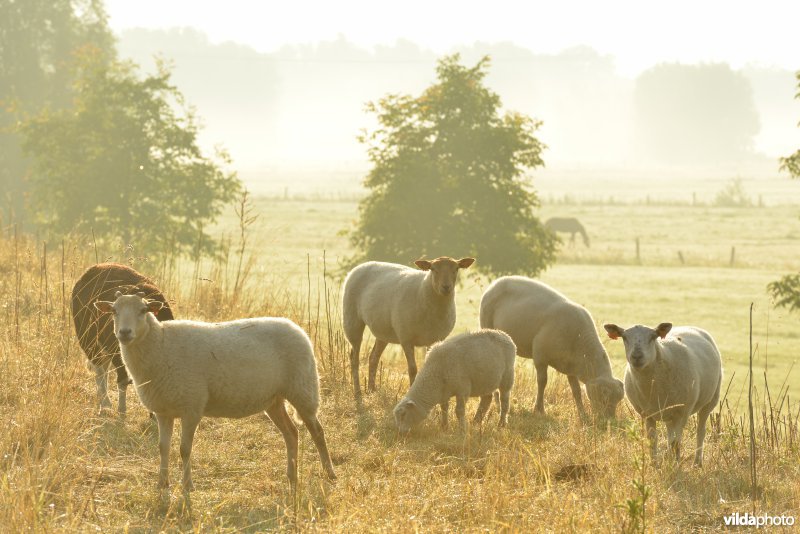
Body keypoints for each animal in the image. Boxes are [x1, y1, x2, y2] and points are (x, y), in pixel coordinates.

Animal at [70, 264, 175, 418]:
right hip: (88, 339)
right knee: (99, 370)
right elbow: (123, 380)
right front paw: (122, 411)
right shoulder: (118, 353)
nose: (125, 332)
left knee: (104, 368)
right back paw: (105, 404)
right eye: (114, 311)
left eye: (143, 310)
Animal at [95, 294, 336, 494]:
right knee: (291, 433)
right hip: (274, 399)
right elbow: (163, 448)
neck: (160, 344)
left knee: (318, 432)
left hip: (303, 388)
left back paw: (330, 474)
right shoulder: (164, 410)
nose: (124, 333)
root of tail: (297, 328)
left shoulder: (192, 406)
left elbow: (184, 449)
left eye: (143, 310)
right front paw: (162, 483)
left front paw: (188, 486)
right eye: (114, 311)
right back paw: (292, 477)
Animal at [340, 258, 476, 402]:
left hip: (383, 331)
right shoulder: (406, 338)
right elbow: (412, 369)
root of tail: (362, 265)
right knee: (354, 358)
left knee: (373, 358)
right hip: (352, 320)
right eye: (433, 269)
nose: (446, 287)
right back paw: (358, 393)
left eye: (456, 269)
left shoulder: (434, 339)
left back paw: (371, 390)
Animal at [478, 278, 628, 420]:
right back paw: (497, 404)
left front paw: (582, 414)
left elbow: (576, 391)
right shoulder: (540, 356)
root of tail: (498, 282)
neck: (580, 341)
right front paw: (539, 410)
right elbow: (542, 382)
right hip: (486, 324)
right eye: (604, 399)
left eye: (617, 401)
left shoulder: (571, 367)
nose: (608, 420)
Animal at [604, 322, 720, 468]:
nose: (637, 356)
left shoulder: (682, 412)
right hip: (669, 413)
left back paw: (697, 462)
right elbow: (652, 440)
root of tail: (691, 327)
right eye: (624, 337)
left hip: (710, 401)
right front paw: (655, 465)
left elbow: (676, 443)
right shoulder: (647, 414)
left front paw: (675, 467)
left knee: (700, 431)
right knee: (671, 435)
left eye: (653, 337)